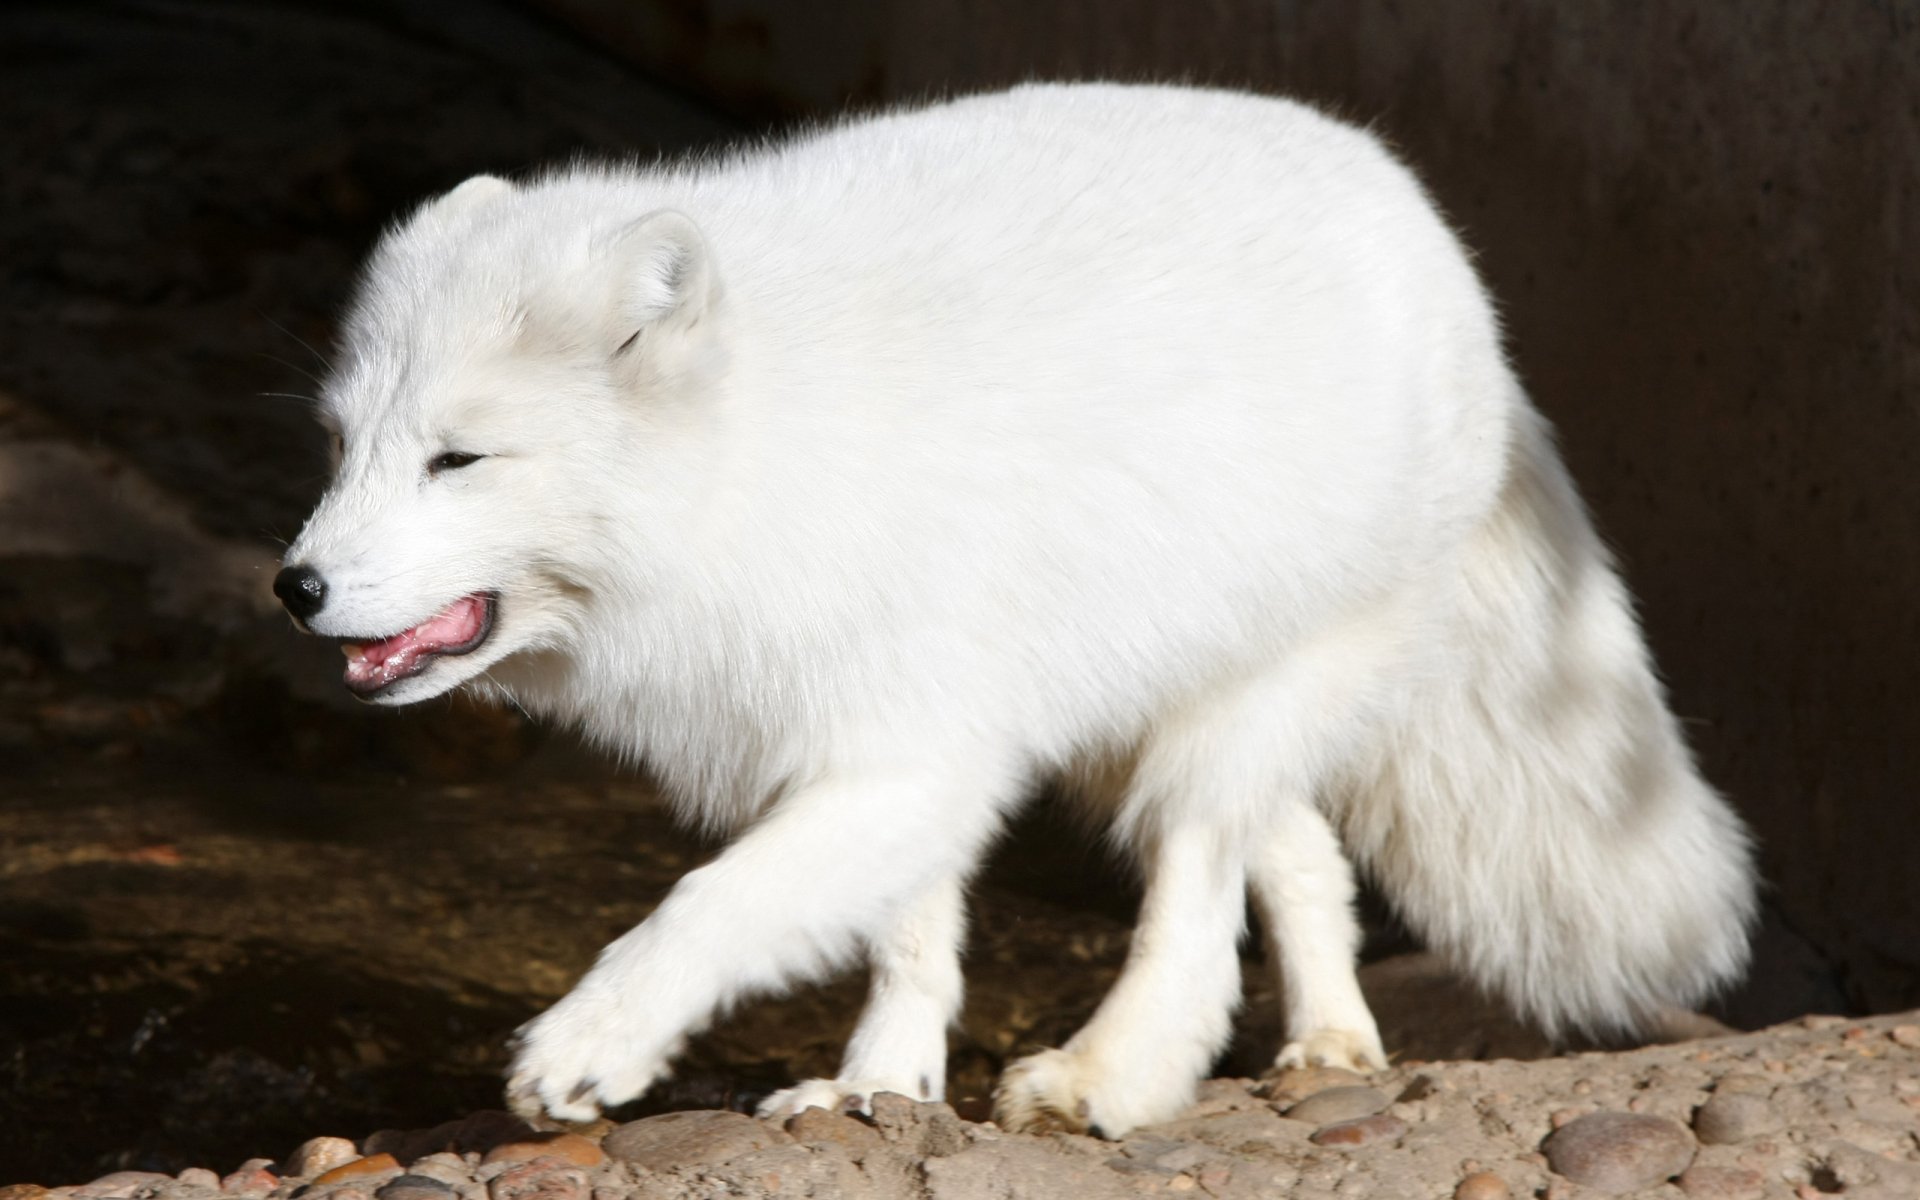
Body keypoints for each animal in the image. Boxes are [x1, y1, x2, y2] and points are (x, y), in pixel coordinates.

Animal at [274, 83, 1757, 1138]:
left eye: (459, 460)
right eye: (340, 446)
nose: (294, 589)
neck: (768, 454)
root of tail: (1434, 236)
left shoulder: (912, 749)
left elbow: (710, 903)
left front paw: (591, 1047)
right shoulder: (906, 740)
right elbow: (911, 941)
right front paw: (880, 1090)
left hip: (1220, 718)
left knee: (1199, 898)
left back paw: (1113, 1077)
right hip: (1149, 701)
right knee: (1305, 856)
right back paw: (1332, 1042)